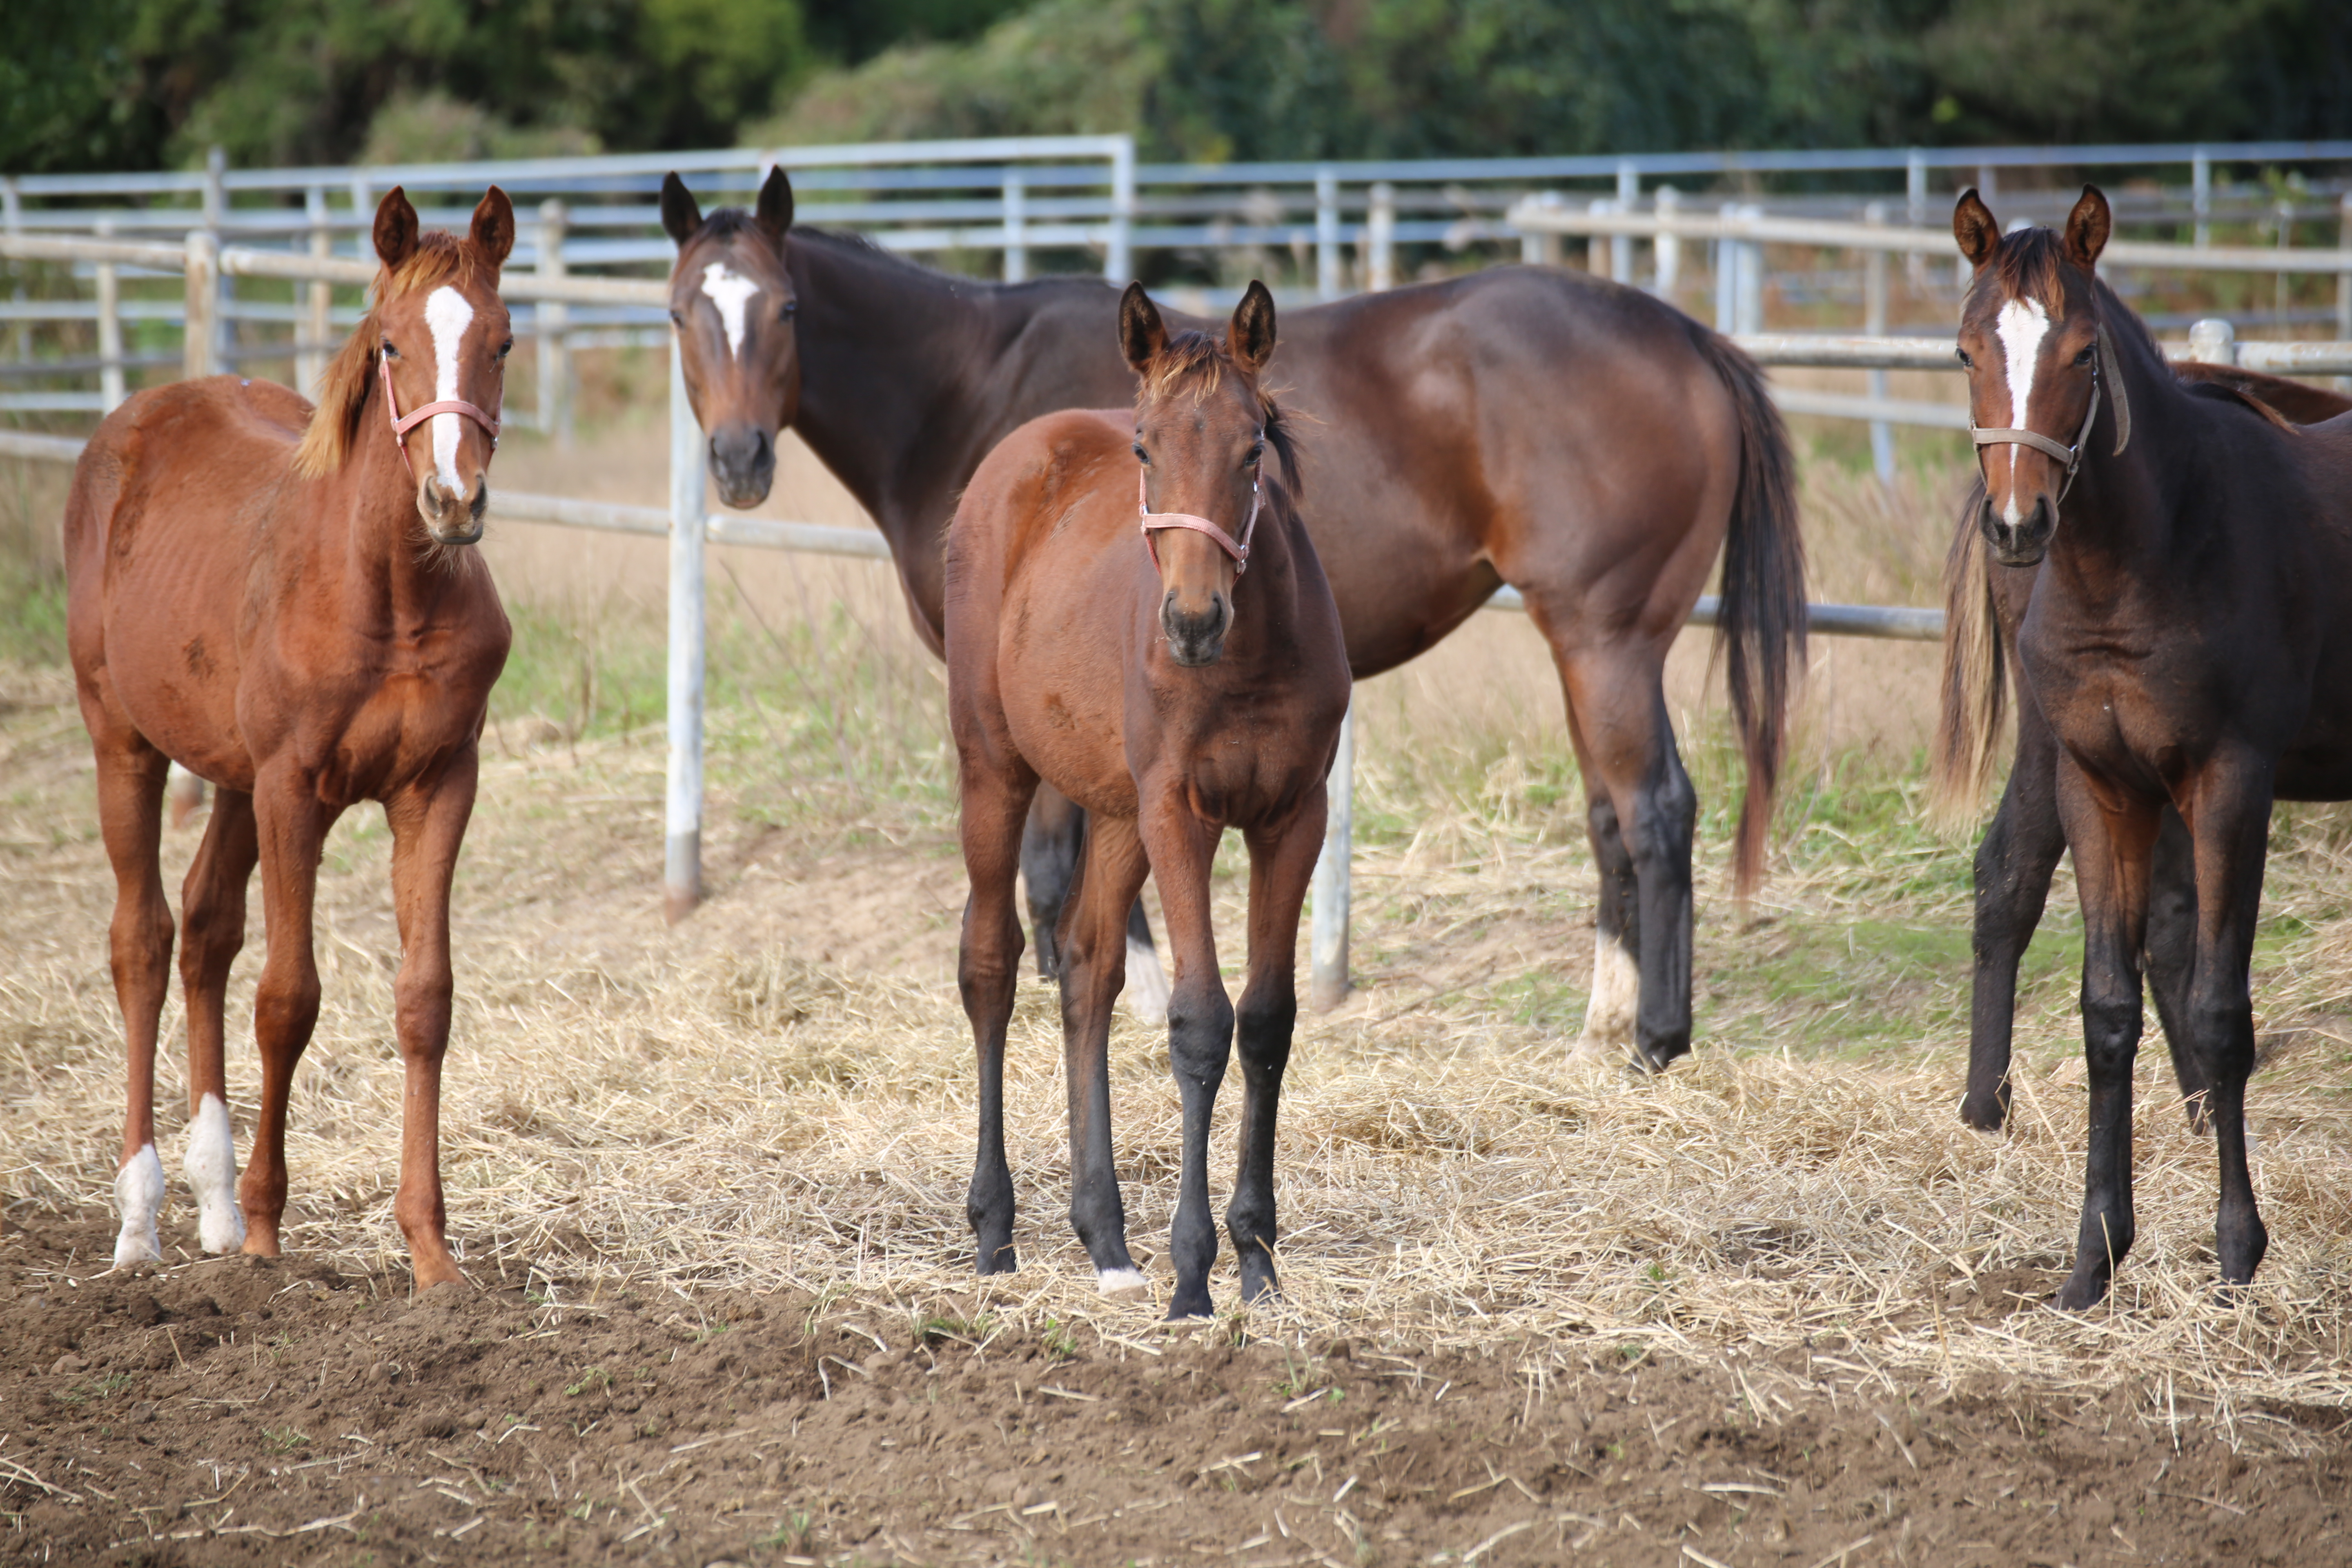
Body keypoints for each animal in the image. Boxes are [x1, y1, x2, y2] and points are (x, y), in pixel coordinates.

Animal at [69, 187, 515, 1288]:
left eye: (502, 342)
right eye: (392, 345)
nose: (454, 501)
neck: (387, 592)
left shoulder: (440, 783)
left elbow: (424, 1000)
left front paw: (430, 1252)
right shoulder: (293, 790)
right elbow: (289, 999)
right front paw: (273, 1234)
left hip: (229, 776)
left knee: (203, 929)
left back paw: (215, 1203)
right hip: (125, 742)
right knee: (142, 939)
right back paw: (143, 1220)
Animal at [663, 175, 1797, 1081]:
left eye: (787, 307)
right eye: (679, 312)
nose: (738, 459)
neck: (974, 389)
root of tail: (1687, 336)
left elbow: (1061, 870)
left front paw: (1126, 990)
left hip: (1607, 638)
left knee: (1654, 808)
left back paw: (1656, 1038)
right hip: (1582, 646)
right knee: (1610, 814)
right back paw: (1603, 1022)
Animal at [936, 285, 1345, 1326]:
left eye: (1253, 447)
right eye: (1146, 449)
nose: (1192, 621)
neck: (1246, 660)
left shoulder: (1295, 817)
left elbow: (1267, 1020)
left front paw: (1256, 1258)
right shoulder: (1181, 815)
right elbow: (1199, 1021)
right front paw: (1195, 1273)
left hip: (1115, 812)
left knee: (1088, 973)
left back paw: (1107, 1241)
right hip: (995, 769)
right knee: (991, 964)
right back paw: (995, 1230)